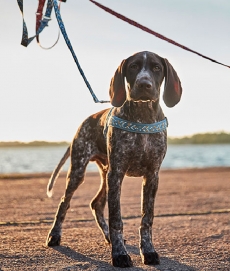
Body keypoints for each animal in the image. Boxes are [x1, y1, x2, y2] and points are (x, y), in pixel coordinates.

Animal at [45, 51, 181, 270]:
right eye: (133, 67)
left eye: (157, 68)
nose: (144, 84)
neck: (142, 116)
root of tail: (83, 122)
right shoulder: (117, 173)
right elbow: (116, 218)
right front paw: (119, 255)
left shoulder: (152, 175)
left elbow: (147, 218)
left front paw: (148, 251)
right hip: (80, 170)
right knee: (65, 202)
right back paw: (54, 236)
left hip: (105, 174)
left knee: (96, 204)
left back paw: (108, 237)